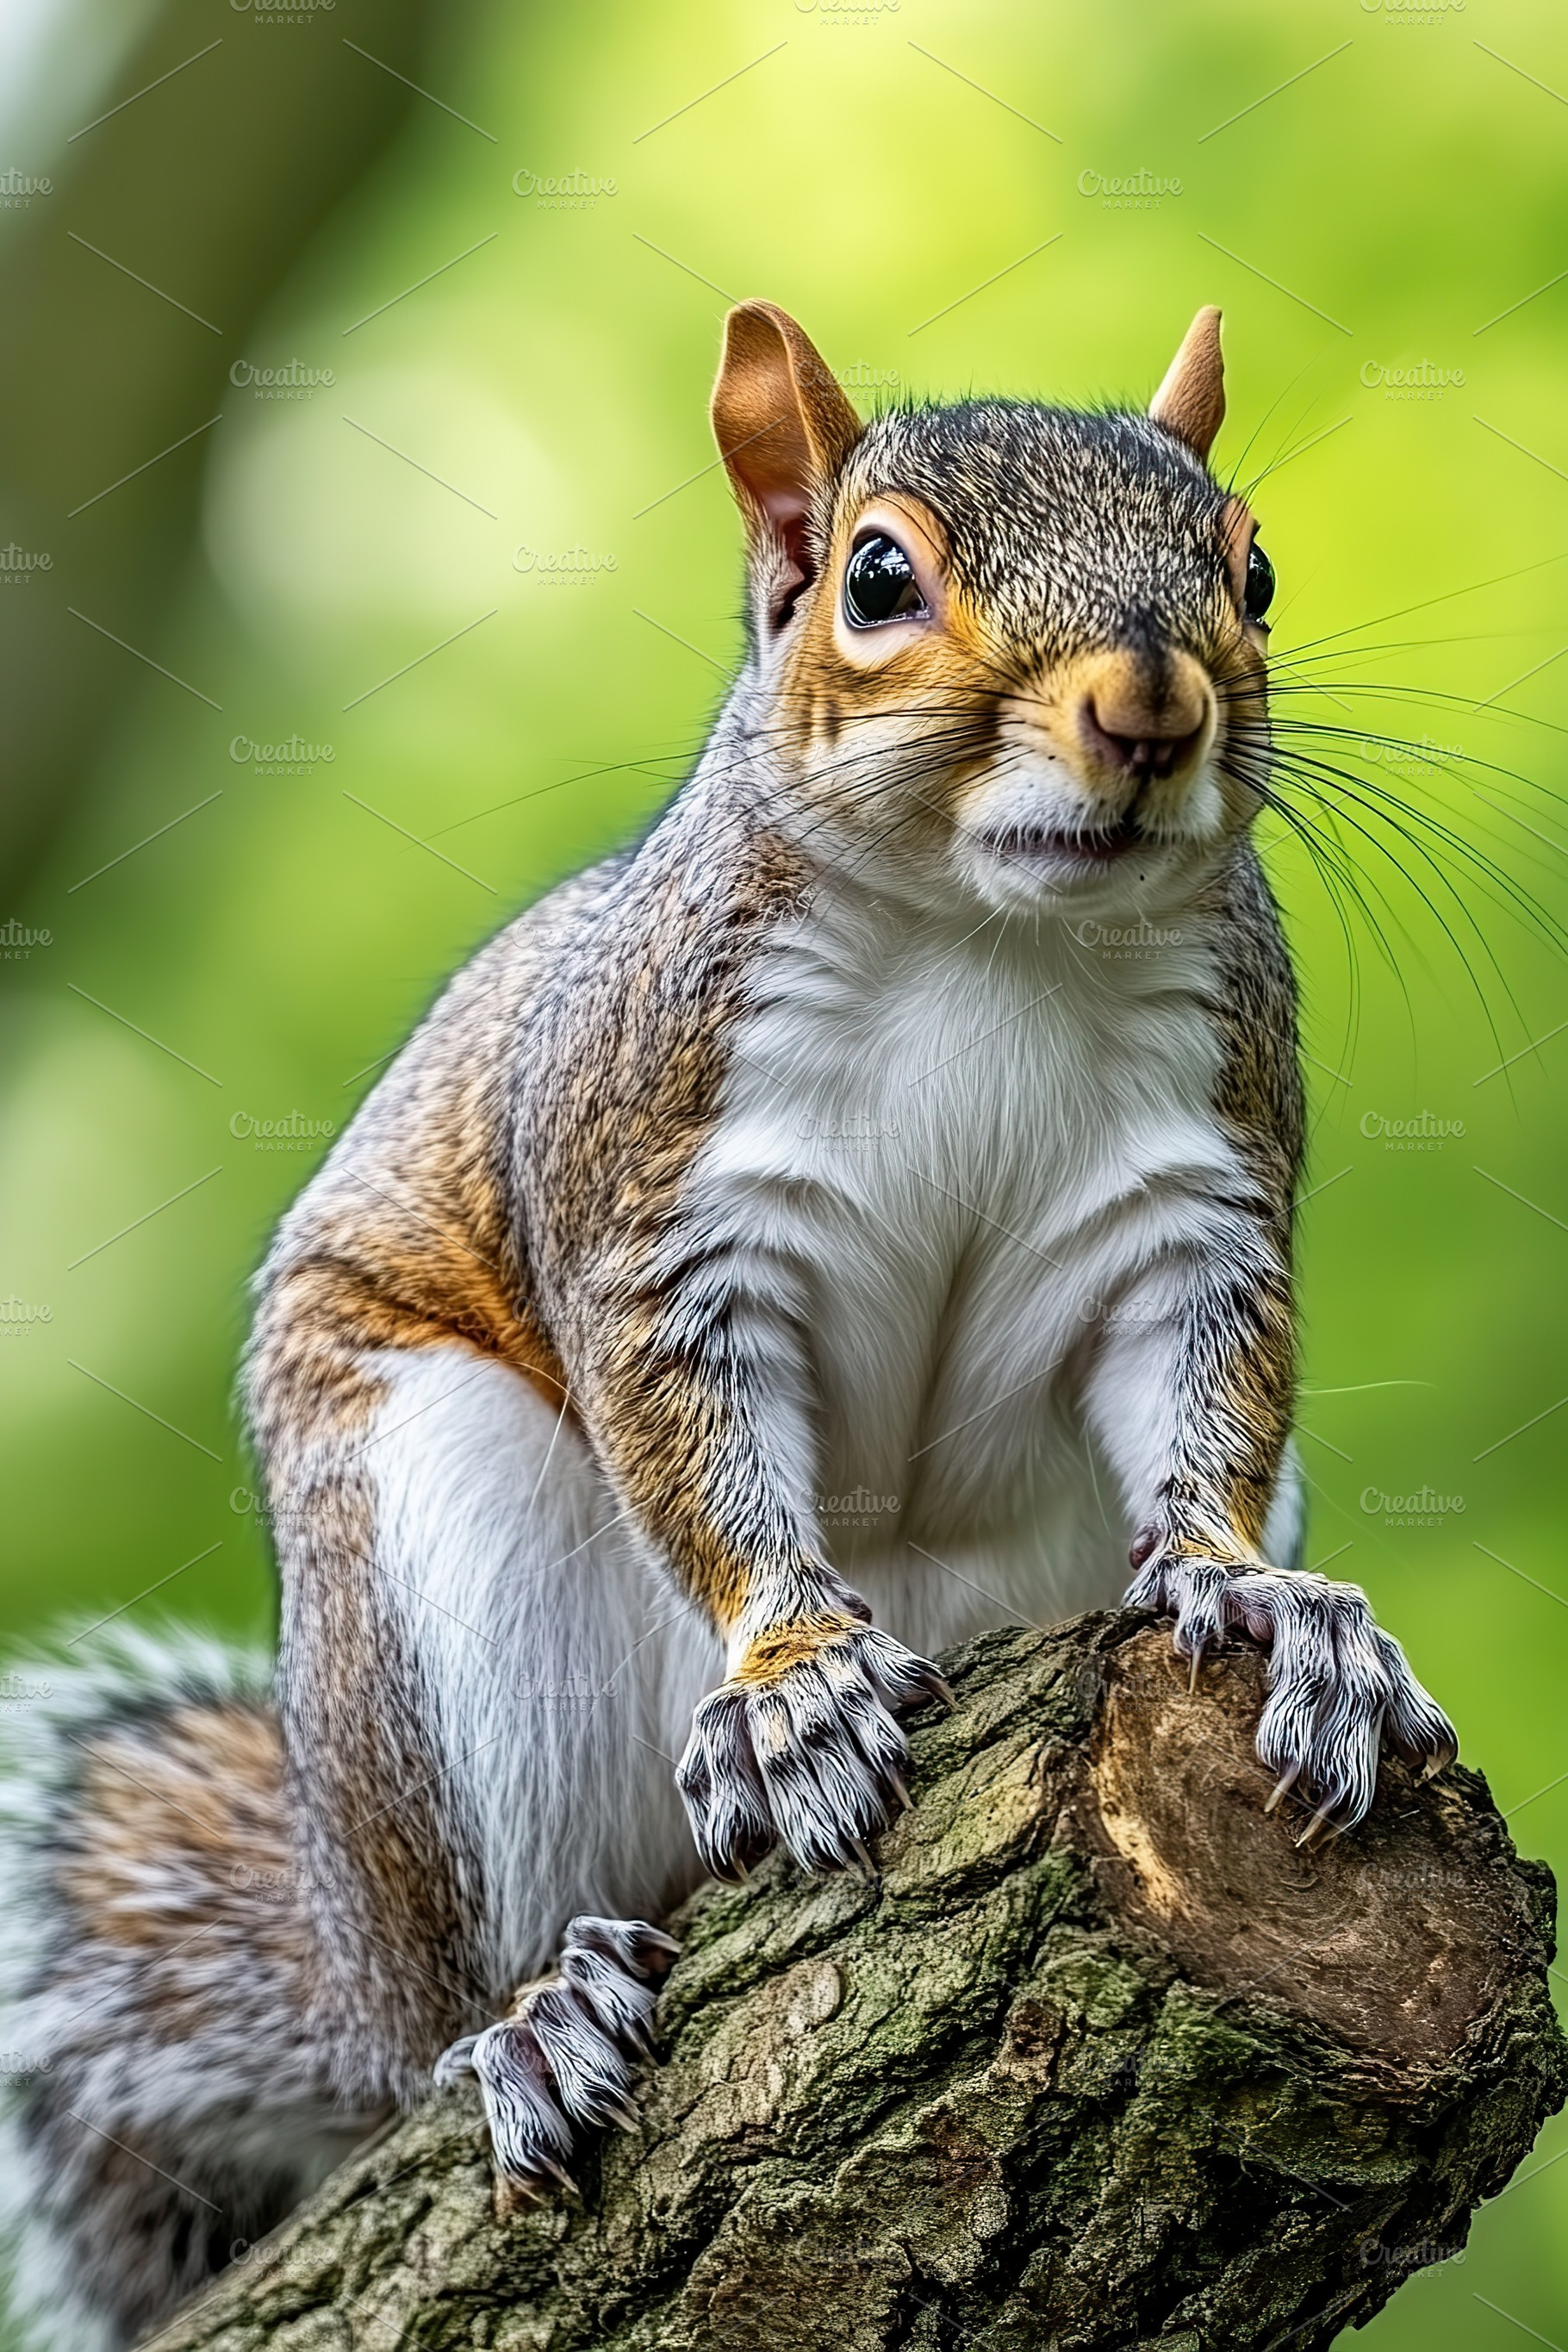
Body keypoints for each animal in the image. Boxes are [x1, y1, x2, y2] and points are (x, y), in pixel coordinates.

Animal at [0, 301, 1457, 2352]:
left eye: (1251, 571)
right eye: (876, 577)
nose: (1152, 710)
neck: (992, 935)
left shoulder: (1198, 1202)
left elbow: (1210, 1408)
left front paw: (1267, 1606)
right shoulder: (653, 1191)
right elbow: (693, 1449)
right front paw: (791, 1686)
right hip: (433, 1576)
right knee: (448, 1994)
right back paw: (526, 2017)